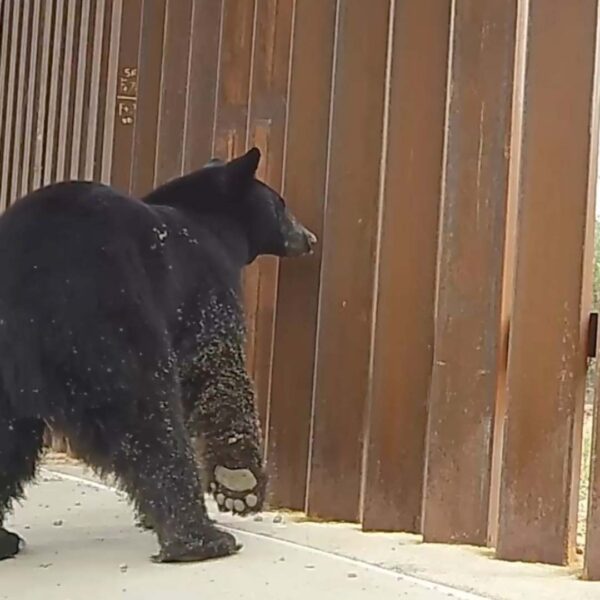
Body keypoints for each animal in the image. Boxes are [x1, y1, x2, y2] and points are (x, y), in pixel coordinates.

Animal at [0, 146, 316, 564]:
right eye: (281, 205)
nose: (310, 237)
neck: (216, 226)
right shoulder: (203, 289)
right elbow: (217, 367)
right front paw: (238, 483)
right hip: (108, 319)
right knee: (150, 420)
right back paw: (201, 539)